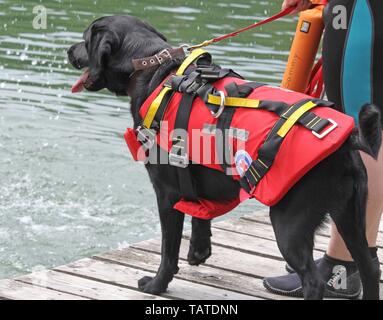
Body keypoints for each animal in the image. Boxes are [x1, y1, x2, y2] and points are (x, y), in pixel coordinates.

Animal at [67, 15, 382, 300]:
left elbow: (168, 250)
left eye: (85, 40)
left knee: (313, 280)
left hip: (290, 222)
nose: (69, 51)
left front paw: (157, 285)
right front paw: (199, 250)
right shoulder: (195, 177)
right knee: (369, 268)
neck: (154, 67)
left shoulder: (166, 192)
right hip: (351, 216)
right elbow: (199, 214)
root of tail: (347, 141)